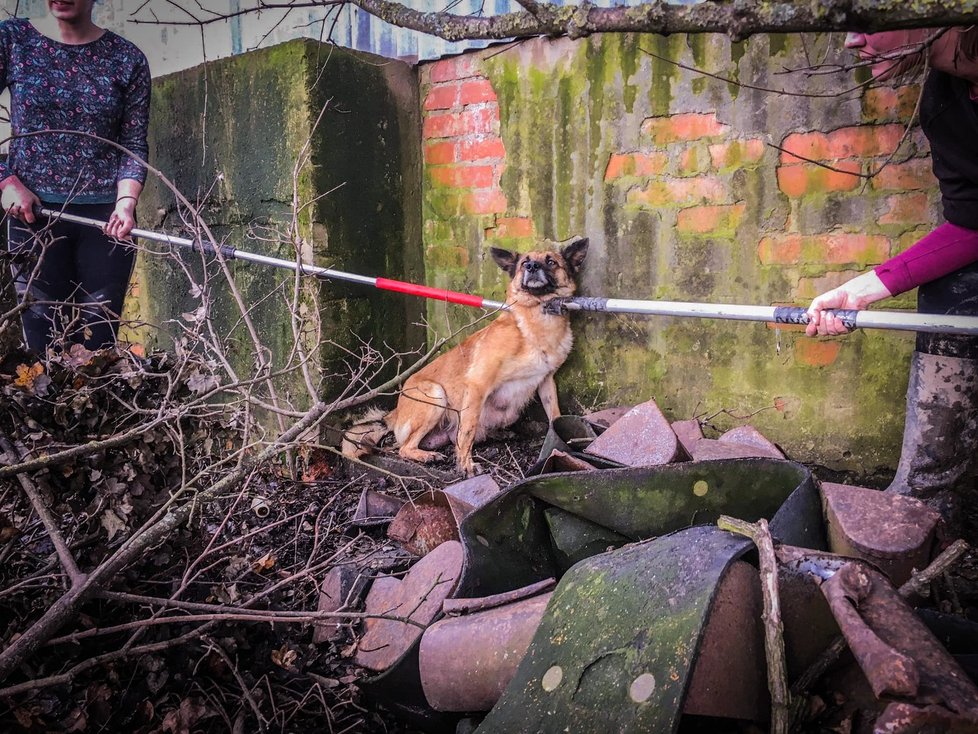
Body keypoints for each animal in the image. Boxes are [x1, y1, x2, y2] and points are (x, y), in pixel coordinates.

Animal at [344, 236, 588, 478]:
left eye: (551, 262)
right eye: (523, 263)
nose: (532, 267)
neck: (536, 320)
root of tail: (393, 413)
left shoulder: (546, 381)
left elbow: (554, 414)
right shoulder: (478, 383)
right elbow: (467, 430)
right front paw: (465, 466)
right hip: (436, 394)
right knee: (405, 447)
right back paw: (426, 456)